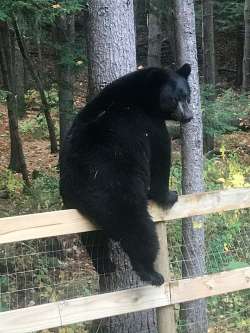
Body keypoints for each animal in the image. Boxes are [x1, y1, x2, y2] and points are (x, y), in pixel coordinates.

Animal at [59, 63, 192, 284]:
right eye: (175, 98)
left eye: (187, 95)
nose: (188, 116)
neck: (143, 96)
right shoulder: (149, 125)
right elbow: (160, 158)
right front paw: (169, 195)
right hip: (116, 190)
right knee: (139, 230)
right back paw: (150, 273)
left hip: (73, 204)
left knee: (93, 240)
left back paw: (105, 266)